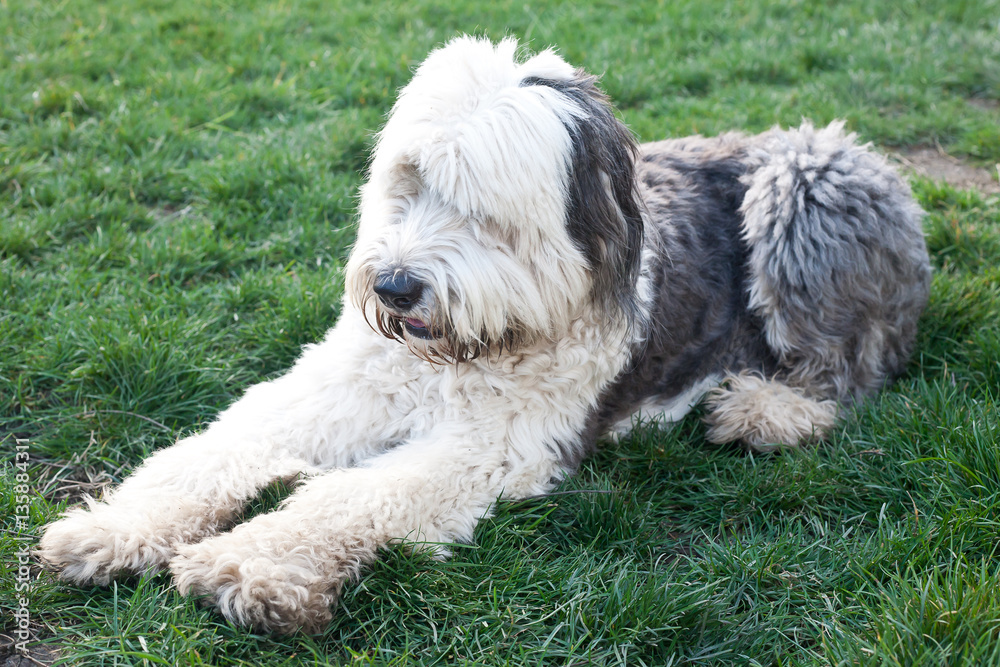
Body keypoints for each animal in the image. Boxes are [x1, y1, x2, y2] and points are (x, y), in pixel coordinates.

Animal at [37, 37, 928, 636]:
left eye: (481, 209)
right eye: (409, 182)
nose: (395, 286)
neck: (461, 354)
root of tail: (852, 145)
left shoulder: (491, 444)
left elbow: (347, 493)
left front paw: (252, 562)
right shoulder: (332, 389)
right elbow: (214, 449)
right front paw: (112, 528)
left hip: (804, 189)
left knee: (851, 365)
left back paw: (766, 412)